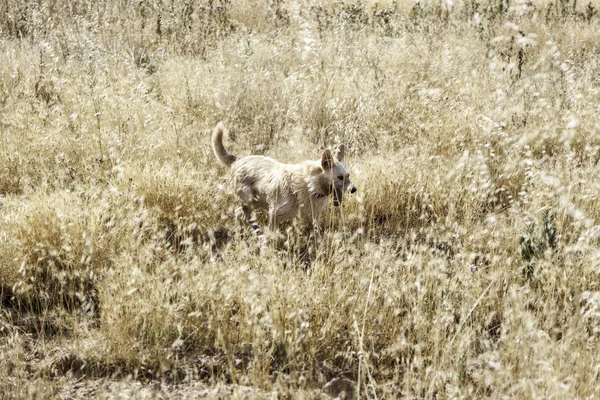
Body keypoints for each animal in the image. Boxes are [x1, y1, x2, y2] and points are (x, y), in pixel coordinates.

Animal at [212, 122, 356, 234]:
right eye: (340, 177)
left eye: (348, 175)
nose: (354, 189)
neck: (309, 184)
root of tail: (238, 159)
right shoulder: (274, 215)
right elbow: (270, 236)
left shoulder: (312, 217)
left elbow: (316, 234)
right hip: (250, 202)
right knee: (242, 214)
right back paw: (253, 229)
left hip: (256, 202)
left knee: (239, 213)